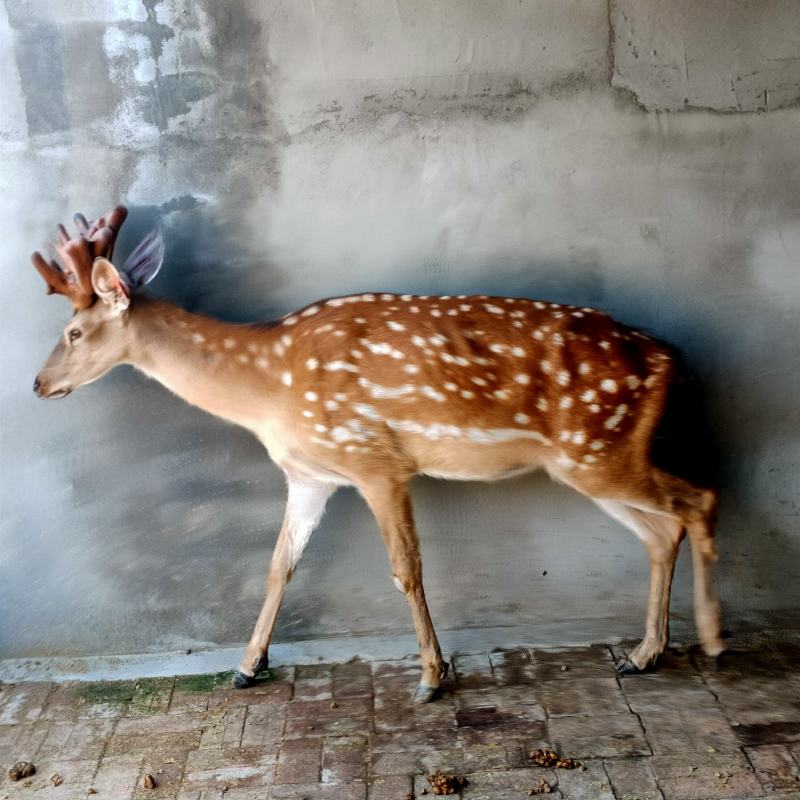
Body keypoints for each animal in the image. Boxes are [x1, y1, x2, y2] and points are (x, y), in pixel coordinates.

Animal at [32, 206, 724, 702]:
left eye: (73, 330)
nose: (38, 384)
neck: (269, 384)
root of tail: (671, 359)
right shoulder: (310, 475)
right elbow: (278, 565)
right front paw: (246, 667)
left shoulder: (374, 459)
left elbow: (405, 568)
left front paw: (431, 678)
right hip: (588, 460)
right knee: (662, 530)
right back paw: (643, 655)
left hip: (598, 447)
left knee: (699, 499)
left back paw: (714, 640)